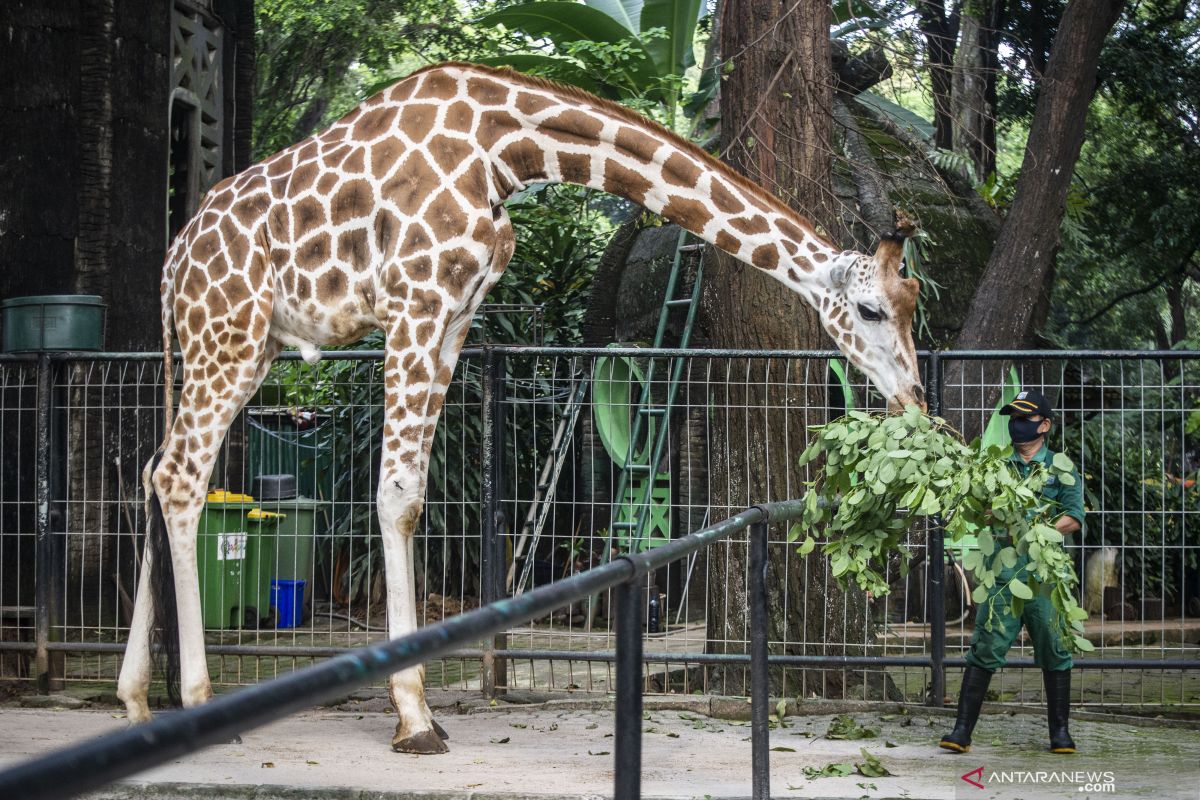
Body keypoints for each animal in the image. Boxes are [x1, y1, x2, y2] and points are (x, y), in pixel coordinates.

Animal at [117, 61, 921, 753]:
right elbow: (397, 492)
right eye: (872, 310)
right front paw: (414, 717)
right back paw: (195, 701)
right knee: (182, 475)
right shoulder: (414, 303)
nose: (913, 397)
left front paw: (416, 708)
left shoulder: (455, 316)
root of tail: (171, 263)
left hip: (242, 347)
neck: (504, 147)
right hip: (227, 335)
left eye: (915, 304)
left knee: (157, 469)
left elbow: (413, 496)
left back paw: (136, 698)